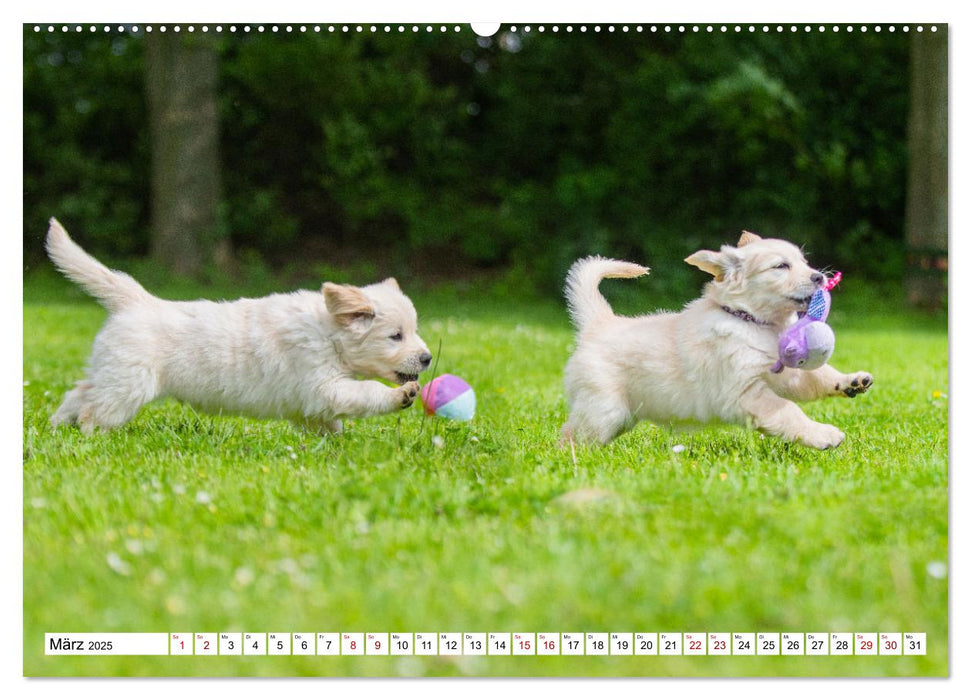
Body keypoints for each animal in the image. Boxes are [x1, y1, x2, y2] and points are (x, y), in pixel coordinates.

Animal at [44, 219, 432, 438]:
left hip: (111, 372)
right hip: (129, 383)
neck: (328, 335)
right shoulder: (323, 386)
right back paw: (94, 437)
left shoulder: (309, 400)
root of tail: (139, 301)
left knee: (78, 393)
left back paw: (57, 427)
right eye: (395, 336)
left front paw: (333, 442)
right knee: (95, 409)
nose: (427, 358)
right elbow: (366, 392)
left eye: (413, 332)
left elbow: (326, 423)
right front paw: (402, 395)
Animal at [560, 230, 872, 448]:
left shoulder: (784, 374)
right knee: (571, 434)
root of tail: (599, 323)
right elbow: (787, 411)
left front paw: (851, 381)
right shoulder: (744, 392)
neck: (753, 322)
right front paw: (823, 435)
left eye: (804, 262)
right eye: (781, 266)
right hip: (604, 409)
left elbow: (816, 376)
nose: (819, 276)